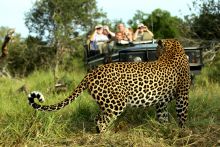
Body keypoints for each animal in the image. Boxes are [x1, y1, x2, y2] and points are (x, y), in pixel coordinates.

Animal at [28, 39, 191, 133]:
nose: (154, 54)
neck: (173, 50)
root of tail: (91, 73)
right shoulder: (183, 95)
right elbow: (182, 115)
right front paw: (183, 132)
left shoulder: (161, 101)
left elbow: (163, 116)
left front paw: (165, 129)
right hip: (116, 102)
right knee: (101, 120)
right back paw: (105, 136)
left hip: (106, 102)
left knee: (97, 118)